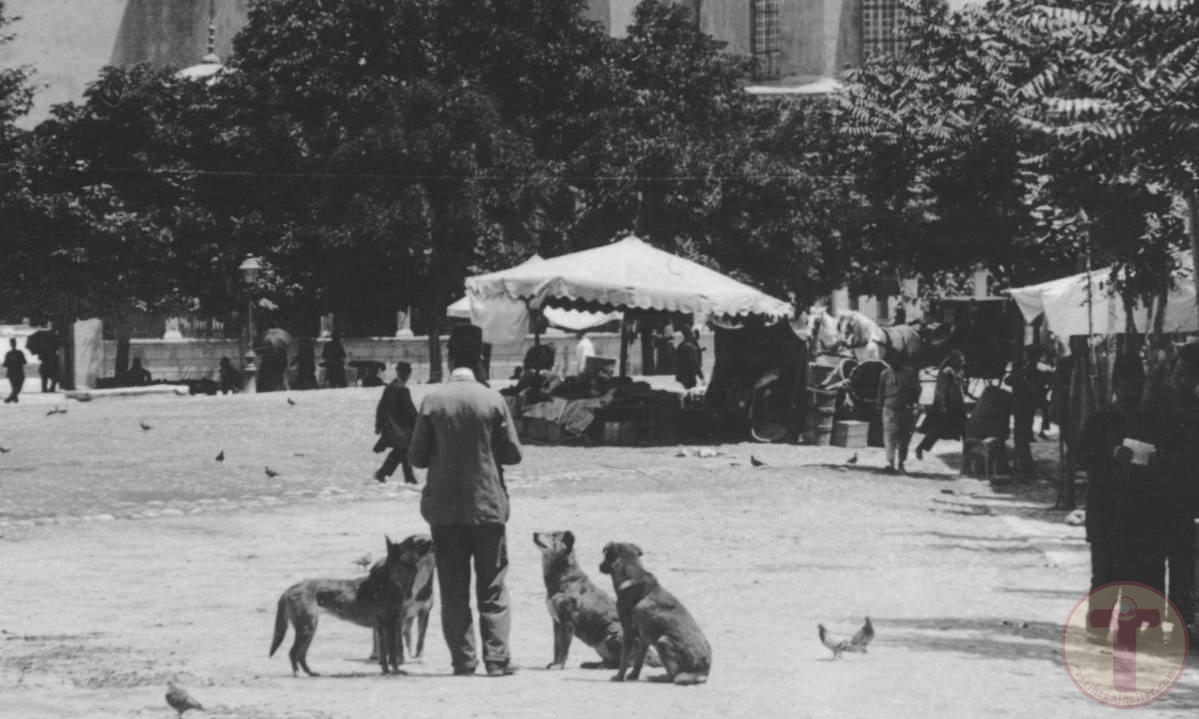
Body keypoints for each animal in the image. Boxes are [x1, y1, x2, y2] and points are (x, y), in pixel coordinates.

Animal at [272, 534, 436, 680]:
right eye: (414, 542)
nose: (432, 540)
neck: (389, 580)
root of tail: (290, 589)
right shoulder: (390, 626)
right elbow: (393, 654)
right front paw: (396, 672)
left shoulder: (381, 629)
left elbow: (384, 656)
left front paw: (385, 671)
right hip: (306, 629)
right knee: (293, 652)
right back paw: (297, 673)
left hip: (309, 630)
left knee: (301, 654)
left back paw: (310, 673)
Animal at [532, 529, 628, 671]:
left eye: (553, 536)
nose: (534, 533)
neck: (565, 577)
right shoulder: (556, 623)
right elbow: (556, 646)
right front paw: (554, 663)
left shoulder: (567, 622)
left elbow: (563, 648)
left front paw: (559, 665)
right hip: (598, 643)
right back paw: (594, 664)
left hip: (611, 634)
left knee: (627, 661)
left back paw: (605, 666)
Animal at [599, 539, 709, 685]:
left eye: (605, 557)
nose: (599, 566)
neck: (630, 572)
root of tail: (702, 673)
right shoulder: (643, 637)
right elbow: (639, 660)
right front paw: (633, 675)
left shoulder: (628, 633)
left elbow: (624, 660)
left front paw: (619, 677)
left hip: (662, 641)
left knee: (673, 677)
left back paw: (658, 677)